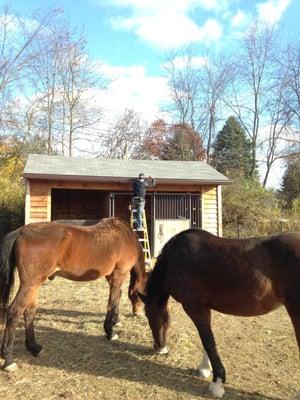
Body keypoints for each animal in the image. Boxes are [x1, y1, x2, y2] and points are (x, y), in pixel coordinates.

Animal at [0, 219, 145, 372]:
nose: (139, 313)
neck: (125, 236)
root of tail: (20, 232)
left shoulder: (111, 277)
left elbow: (117, 298)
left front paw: (116, 320)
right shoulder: (119, 274)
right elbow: (112, 301)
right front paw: (110, 332)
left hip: (34, 285)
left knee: (29, 311)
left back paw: (34, 347)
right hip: (30, 284)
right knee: (14, 311)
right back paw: (9, 360)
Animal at [140, 230, 300, 398]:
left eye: (149, 316)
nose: (159, 347)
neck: (175, 258)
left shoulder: (194, 308)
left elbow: (209, 343)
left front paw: (217, 383)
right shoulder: (204, 308)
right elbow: (206, 340)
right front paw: (205, 368)